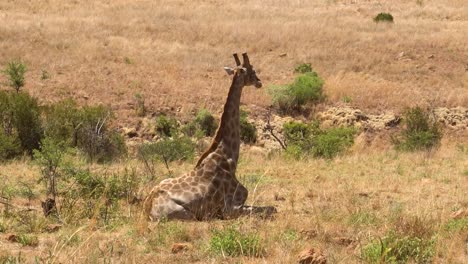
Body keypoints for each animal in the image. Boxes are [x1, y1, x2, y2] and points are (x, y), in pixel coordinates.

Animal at [143, 53, 274, 221]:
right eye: (252, 70)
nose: (259, 82)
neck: (227, 156)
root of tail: (147, 207)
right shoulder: (229, 209)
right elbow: (268, 209)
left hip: (164, 181)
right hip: (186, 214)